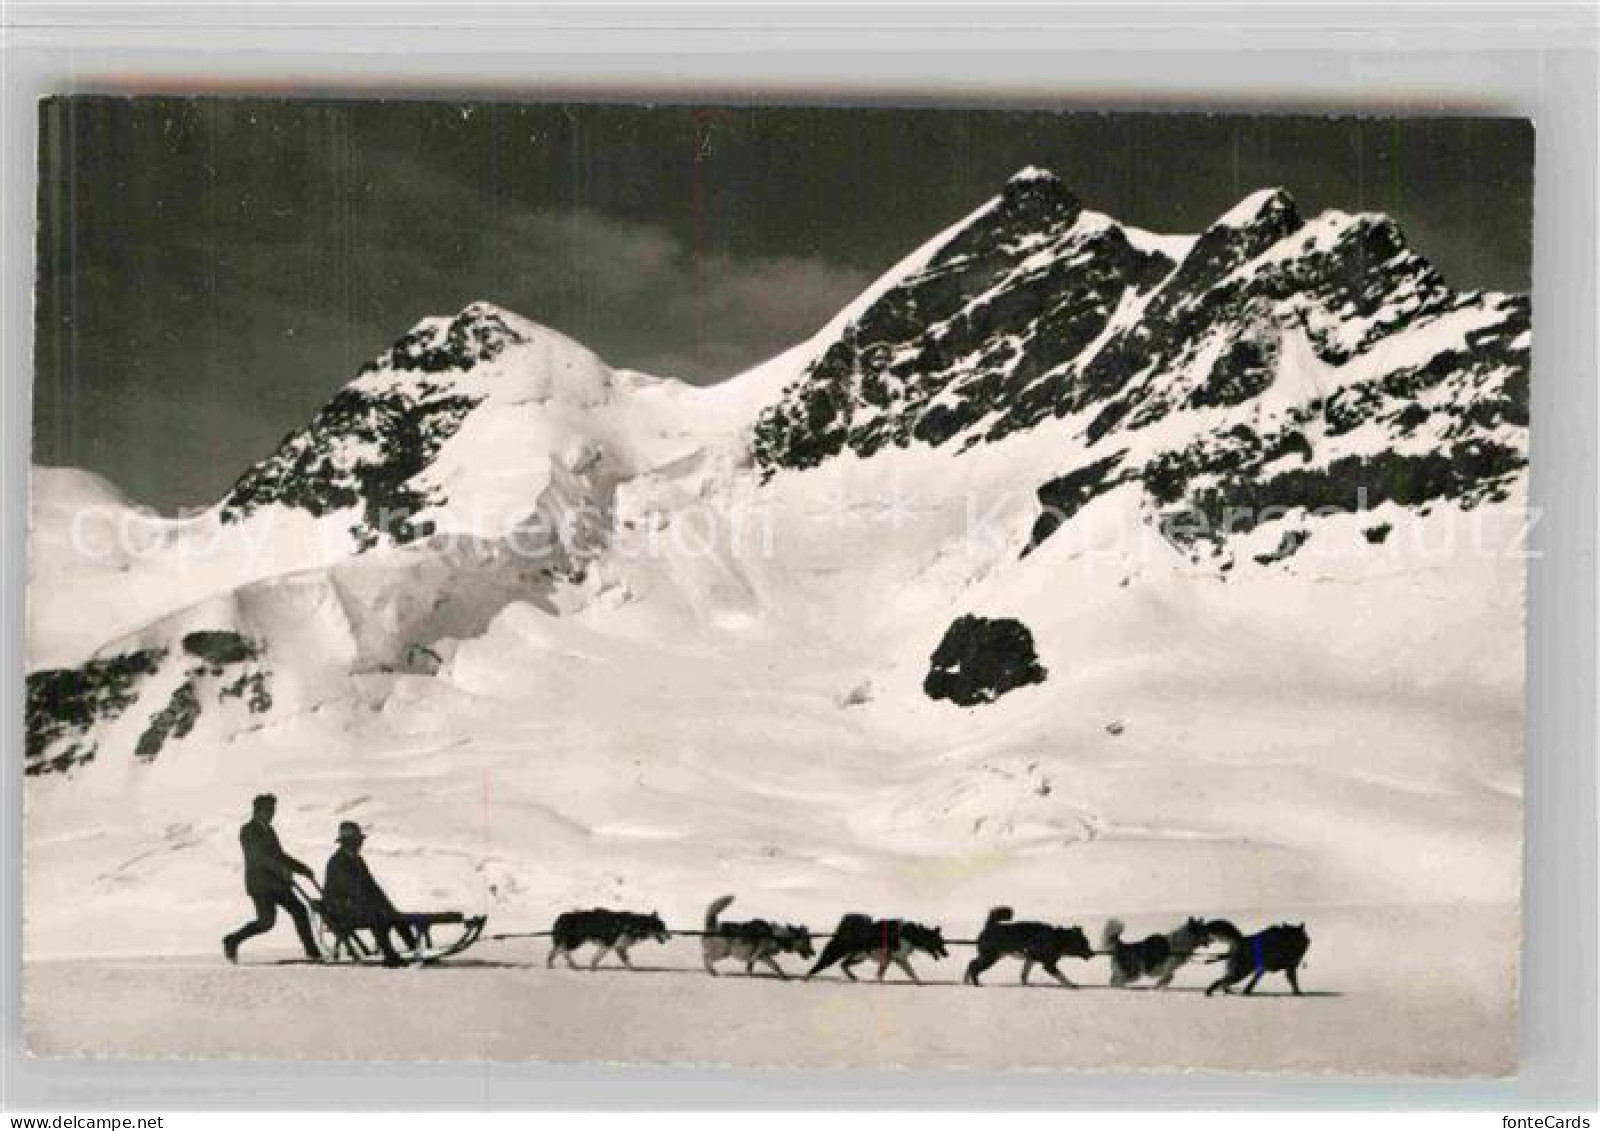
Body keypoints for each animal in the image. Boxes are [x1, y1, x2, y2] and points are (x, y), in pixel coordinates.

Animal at [806, 908, 940, 979]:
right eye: (939, 941)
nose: (944, 953)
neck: (909, 934)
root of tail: (840, 931)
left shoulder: (895, 960)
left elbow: (912, 974)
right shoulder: (891, 959)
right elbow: (882, 974)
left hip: (860, 957)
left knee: (843, 965)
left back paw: (853, 977)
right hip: (834, 956)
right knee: (816, 968)